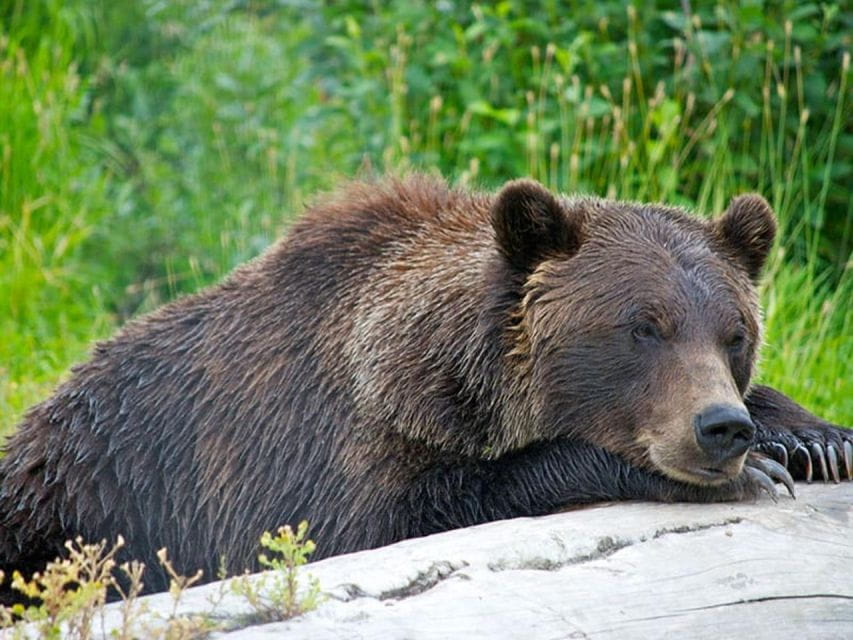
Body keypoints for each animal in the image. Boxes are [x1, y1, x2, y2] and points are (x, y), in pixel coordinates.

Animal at [0, 174, 850, 597]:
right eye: (642, 327)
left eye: (733, 333)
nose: (720, 428)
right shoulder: (319, 452)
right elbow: (407, 512)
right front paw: (748, 472)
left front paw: (812, 438)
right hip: (74, 494)